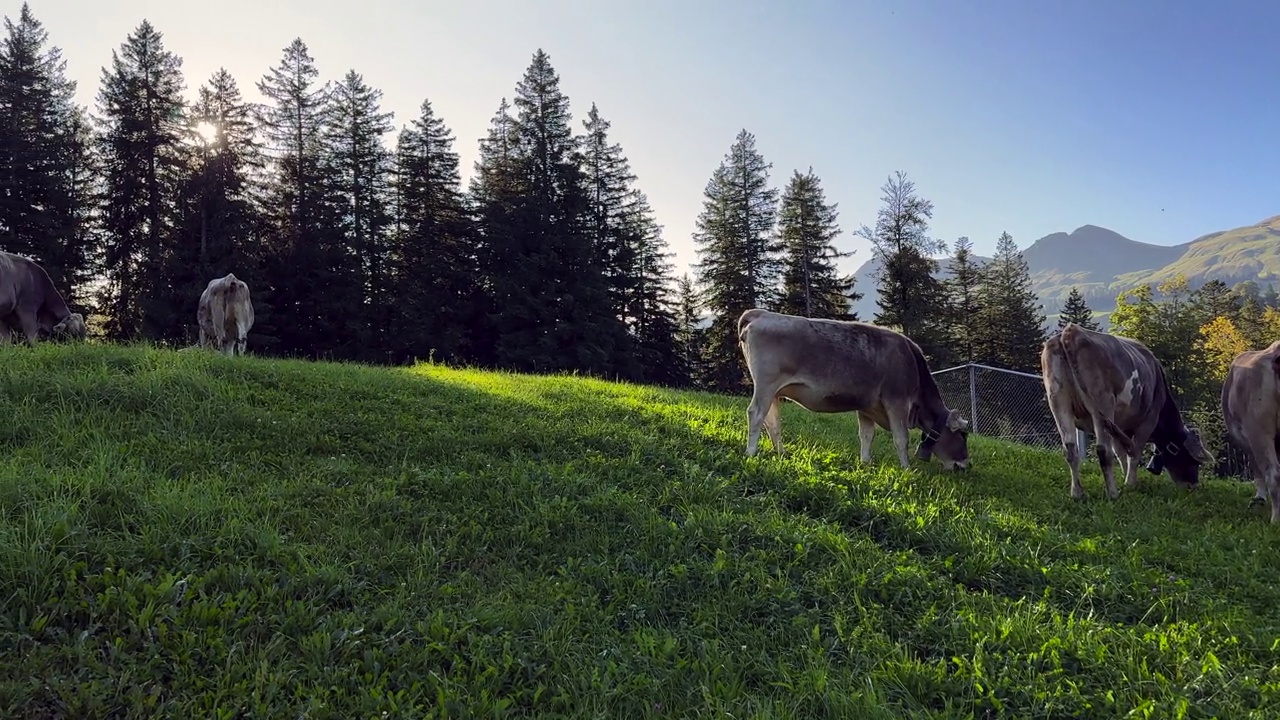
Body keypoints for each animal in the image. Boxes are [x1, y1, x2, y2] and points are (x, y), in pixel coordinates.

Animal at [742, 304, 967, 468]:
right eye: (963, 435)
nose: (967, 464)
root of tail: (761, 314)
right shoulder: (897, 400)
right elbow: (901, 438)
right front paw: (906, 468)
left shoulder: (867, 406)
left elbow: (866, 435)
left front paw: (865, 463)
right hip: (766, 385)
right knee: (756, 414)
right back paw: (751, 452)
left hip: (774, 392)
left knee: (772, 422)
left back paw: (781, 452)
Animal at [1039, 322, 1208, 502]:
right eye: (1193, 460)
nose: (1193, 486)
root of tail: (1070, 332)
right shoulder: (1148, 420)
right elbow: (1134, 452)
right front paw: (1130, 483)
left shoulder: (1118, 425)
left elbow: (1120, 453)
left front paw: (1125, 477)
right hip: (1102, 402)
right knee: (1103, 450)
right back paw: (1112, 493)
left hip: (1058, 400)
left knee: (1070, 449)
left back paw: (1078, 493)